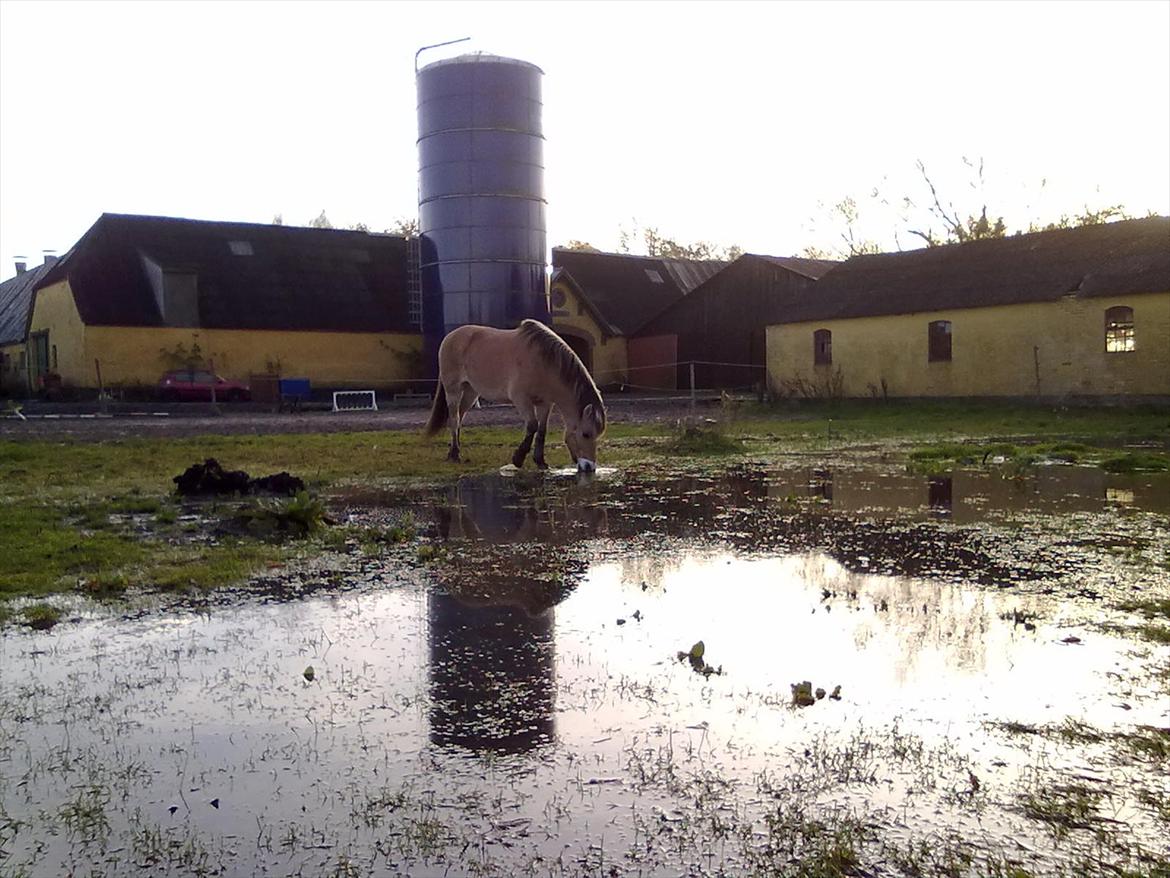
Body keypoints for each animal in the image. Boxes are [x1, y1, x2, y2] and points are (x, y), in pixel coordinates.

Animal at [423, 320, 608, 475]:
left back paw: (454, 451)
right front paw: (518, 459)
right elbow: (532, 426)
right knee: (454, 419)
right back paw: (455, 454)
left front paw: (540, 461)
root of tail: (450, 336)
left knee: (459, 417)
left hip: (471, 392)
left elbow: (541, 430)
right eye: (586, 434)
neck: (543, 363)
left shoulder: (545, 403)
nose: (589, 467)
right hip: (453, 390)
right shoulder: (522, 400)